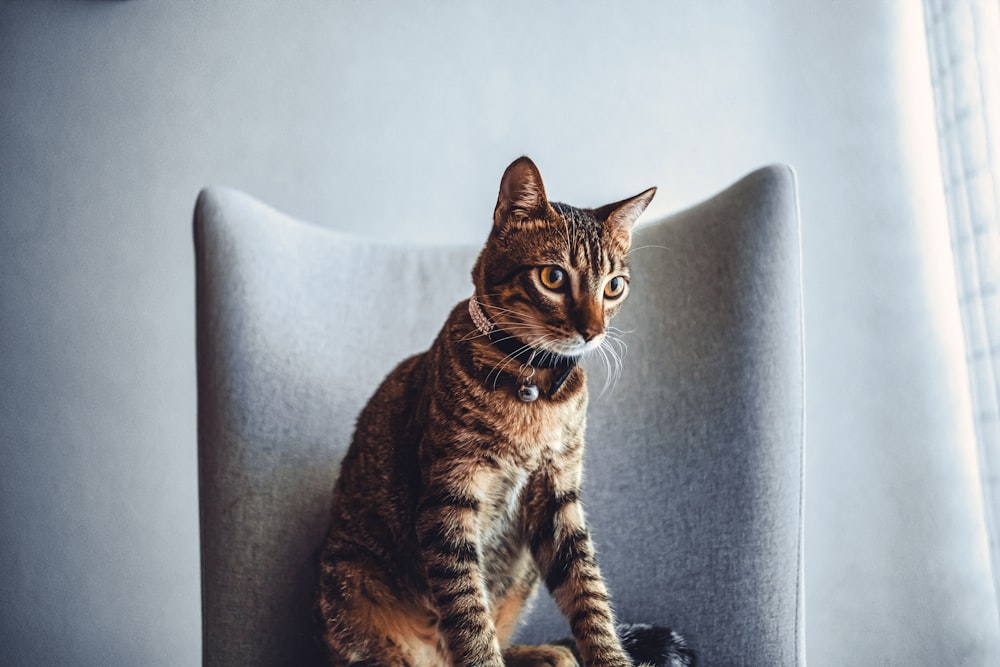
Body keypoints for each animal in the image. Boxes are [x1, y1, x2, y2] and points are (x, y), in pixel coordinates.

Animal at [316, 158, 692, 667]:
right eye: (553, 277)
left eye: (614, 287)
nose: (594, 331)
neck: (534, 388)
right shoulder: (448, 499)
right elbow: (469, 616)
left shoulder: (558, 496)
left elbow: (589, 596)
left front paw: (610, 656)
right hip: (351, 586)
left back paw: (549, 653)